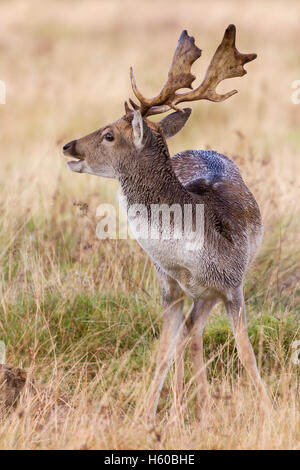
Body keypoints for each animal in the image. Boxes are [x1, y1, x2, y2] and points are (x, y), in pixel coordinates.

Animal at [62, 24, 270, 418]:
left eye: (109, 134)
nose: (68, 146)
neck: (192, 255)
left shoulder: (233, 285)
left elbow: (246, 353)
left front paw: (268, 409)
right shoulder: (169, 286)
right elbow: (163, 351)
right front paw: (149, 415)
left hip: (211, 294)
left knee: (194, 335)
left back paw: (201, 407)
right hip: (194, 296)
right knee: (188, 337)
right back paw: (188, 407)